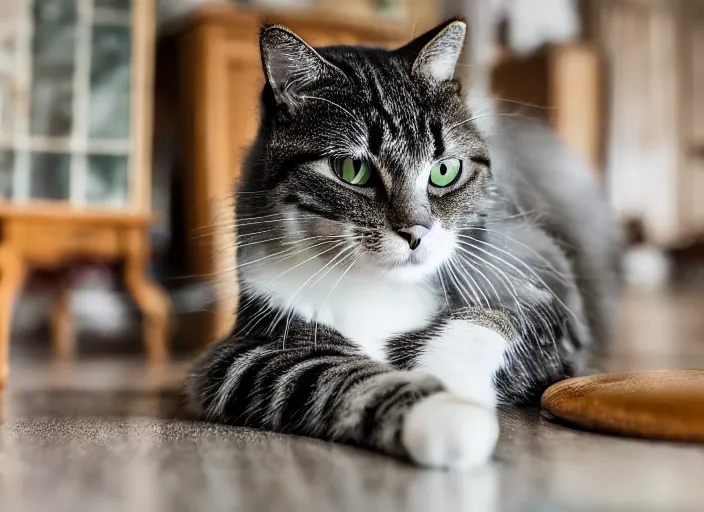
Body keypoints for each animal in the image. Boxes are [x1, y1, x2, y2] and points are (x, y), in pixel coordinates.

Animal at [187, 19, 620, 468]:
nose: (416, 232)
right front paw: (443, 413)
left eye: (445, 170)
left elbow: (492, 318)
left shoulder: (549, 297)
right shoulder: (249, 346)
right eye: (351, 169)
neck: (382, 287)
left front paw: (448, 382)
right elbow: (333, 374)